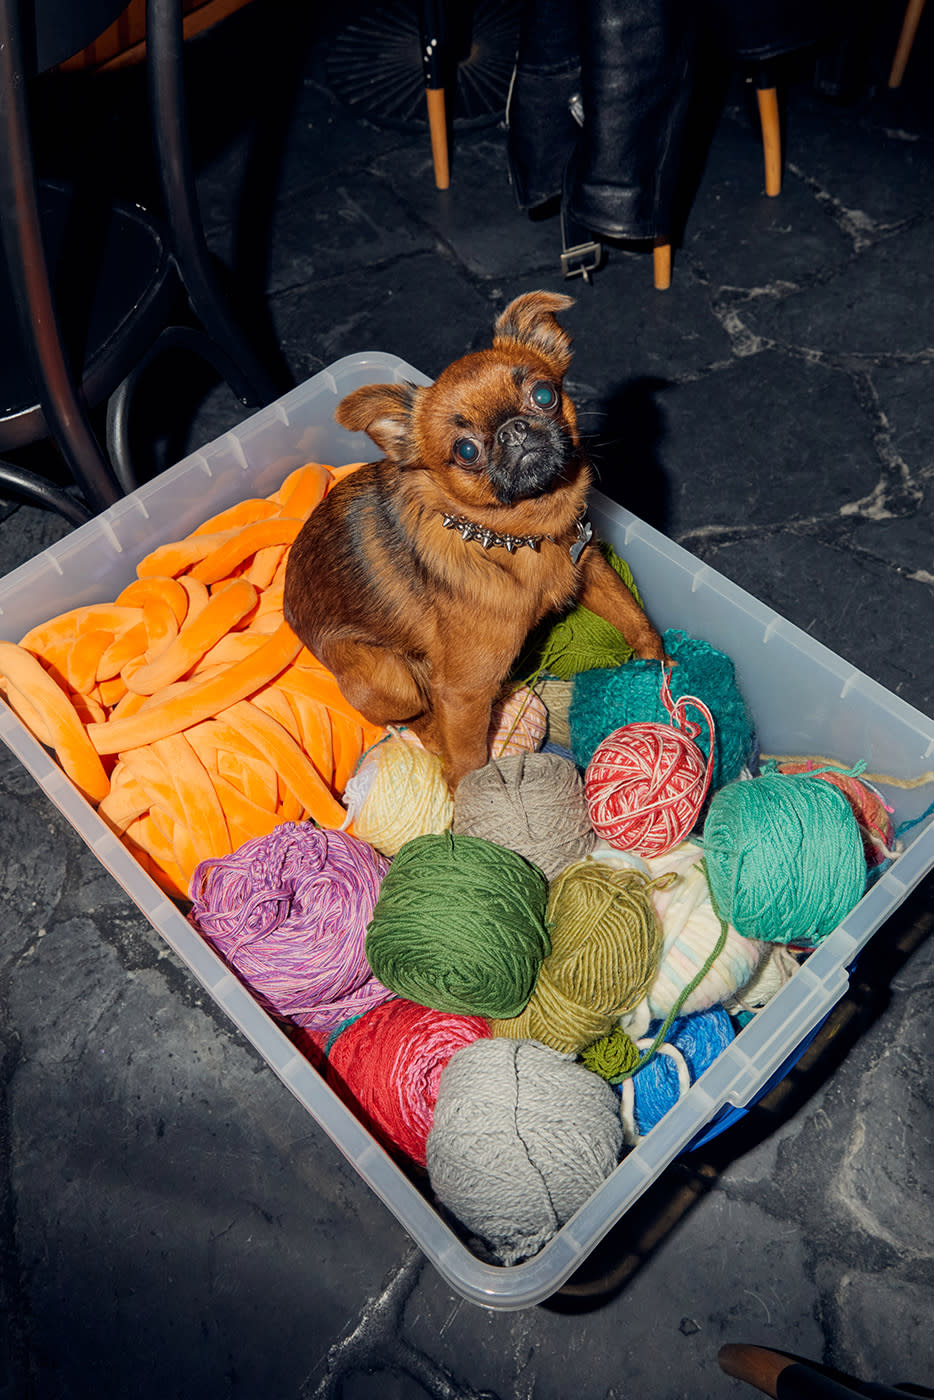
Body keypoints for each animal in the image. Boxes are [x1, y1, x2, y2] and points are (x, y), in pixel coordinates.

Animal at [282, 288, 663, 789]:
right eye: (466, 451)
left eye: (544, 395)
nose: (513, 429)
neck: (516, 538)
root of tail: (289, 611)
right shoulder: (465, 693)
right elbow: (469, 760)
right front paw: (469, 803)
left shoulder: (591, 569)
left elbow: (636, 619)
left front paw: (665, 670)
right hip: (389, 677)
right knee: (414, 712)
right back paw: (430, 739)